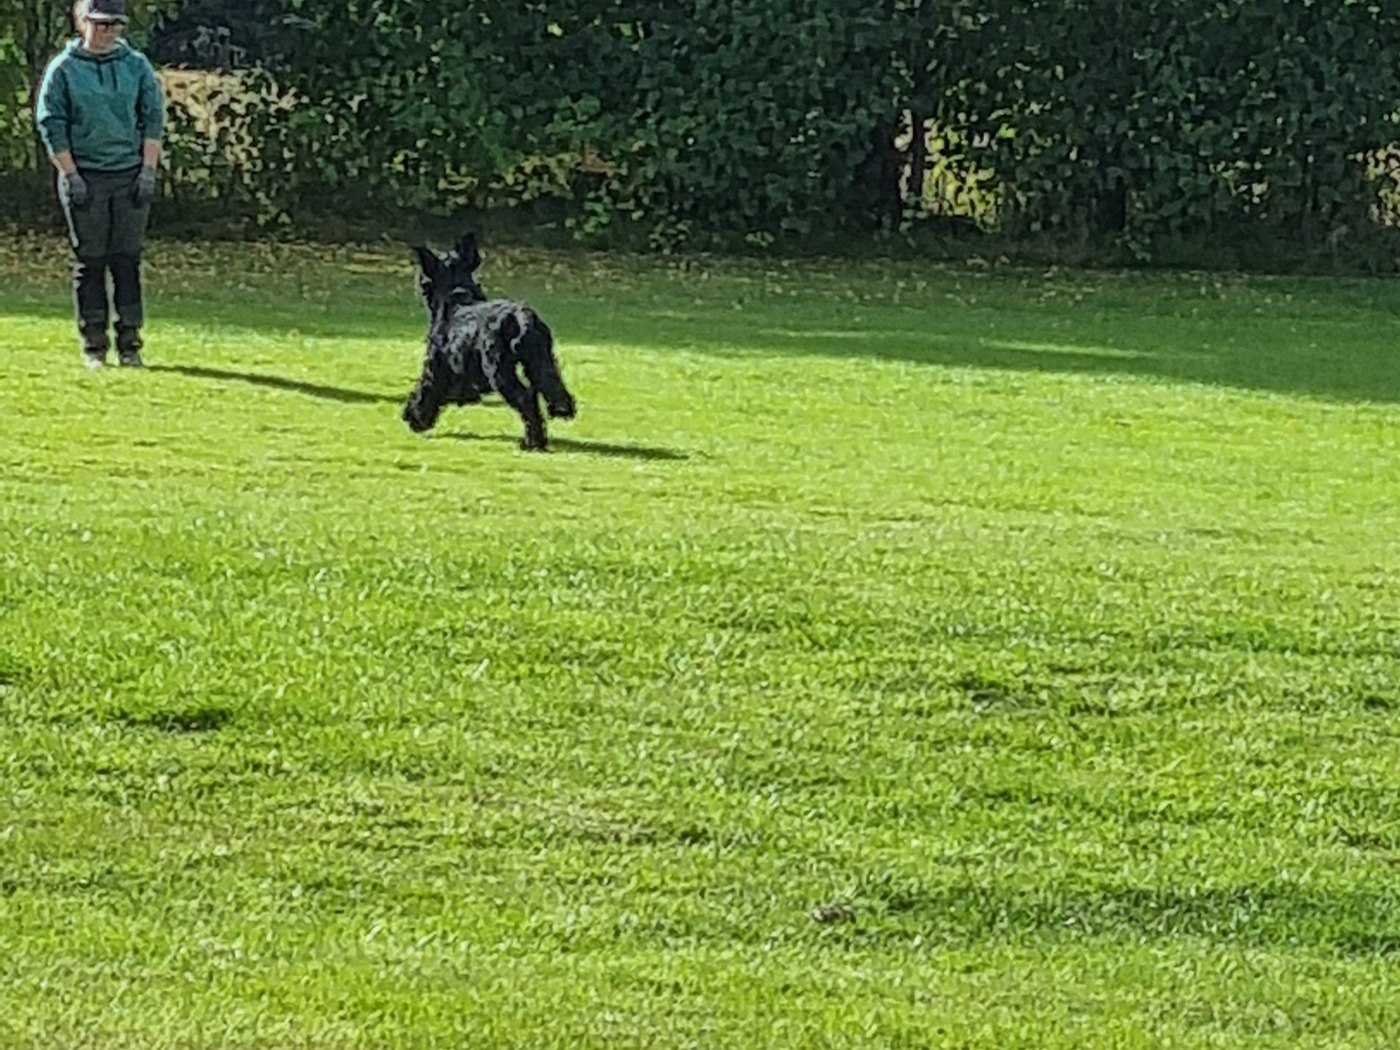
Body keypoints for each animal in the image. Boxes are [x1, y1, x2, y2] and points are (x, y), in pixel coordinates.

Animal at [402, 233, 576, 450]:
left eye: (425, 279)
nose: (420, 284)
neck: (455, 300)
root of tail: (522, 316)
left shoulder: (436, 365)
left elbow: (425, 390)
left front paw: (415, 417)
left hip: (498, 371)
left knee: (526, 398)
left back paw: (531, 442)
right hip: (540, 360)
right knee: (551, 384)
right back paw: (559, 412)